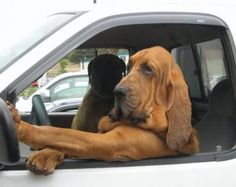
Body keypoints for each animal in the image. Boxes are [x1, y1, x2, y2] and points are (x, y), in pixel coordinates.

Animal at [8, 46, 199, 175]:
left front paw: (21, 127)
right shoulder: (96, 134)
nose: (117, 91)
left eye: (148, 70)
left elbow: (60, 133)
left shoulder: (107, 142)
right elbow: (64, 139)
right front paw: (46, 154)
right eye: (129, 67)